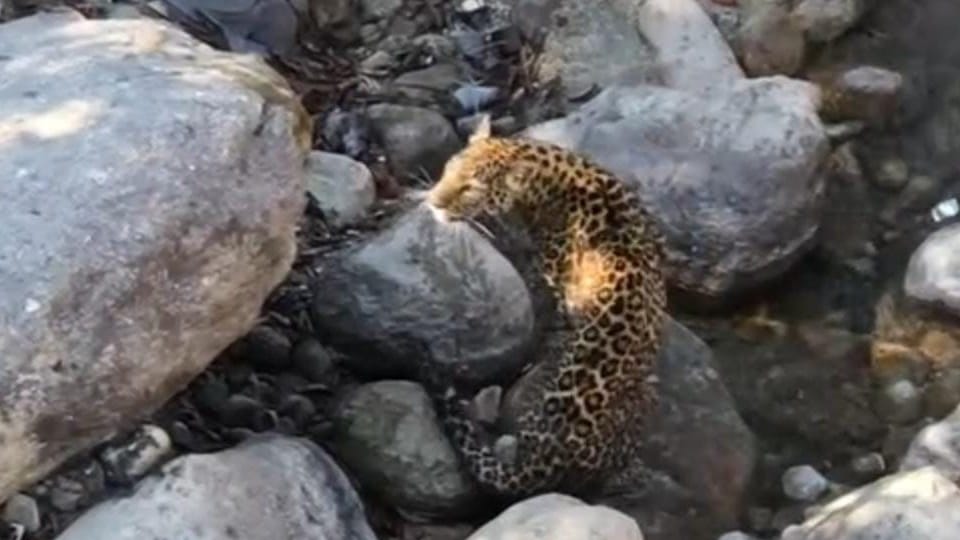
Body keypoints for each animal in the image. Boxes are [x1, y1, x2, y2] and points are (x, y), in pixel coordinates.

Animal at [419, 114, 669, 499]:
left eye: (470, 188)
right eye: (449, 168)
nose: (433, 201)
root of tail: (547, 451)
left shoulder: (555, 289)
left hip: (642, 397)